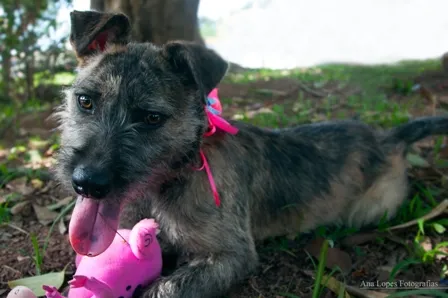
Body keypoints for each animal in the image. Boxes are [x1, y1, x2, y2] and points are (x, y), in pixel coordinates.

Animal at [53, 9, 448, 298]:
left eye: (152, 118)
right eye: (85, 101)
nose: (87, 182)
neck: (173, 178)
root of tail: (387, 138)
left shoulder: (233, 255)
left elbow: (167, 288)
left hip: (372, 209)